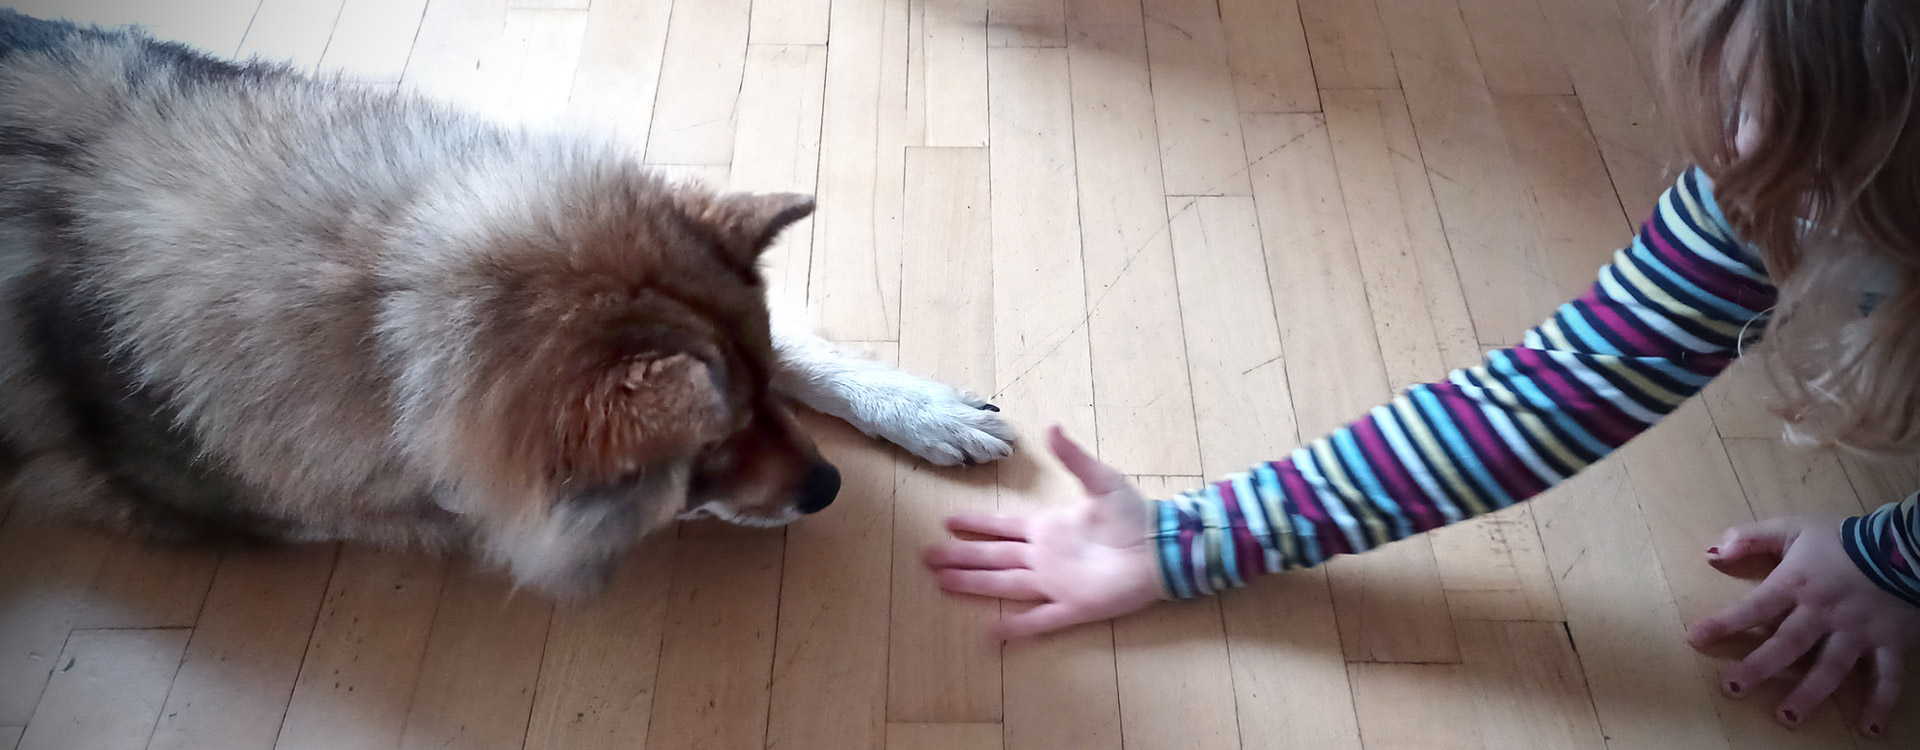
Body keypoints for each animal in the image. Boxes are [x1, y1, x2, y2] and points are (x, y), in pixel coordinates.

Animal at [0, 10, 1021, 598]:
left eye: (763, 395)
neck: (386, 267)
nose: (829, 487)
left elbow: (801, 349)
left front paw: (920, 409)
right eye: (703, 455)